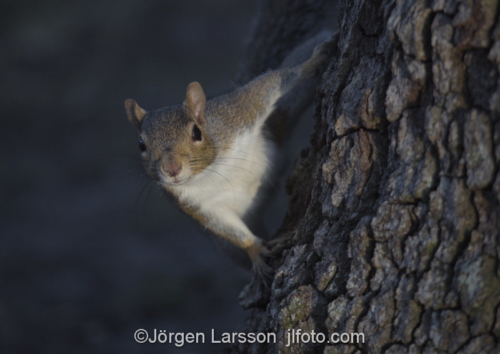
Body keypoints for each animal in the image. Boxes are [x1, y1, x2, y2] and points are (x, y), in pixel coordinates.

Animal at [125, 33, 336, 278]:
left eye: (196, 132)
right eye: (141, 145)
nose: (172, 169)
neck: (212, 170)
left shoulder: (239, 114)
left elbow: (270, 83)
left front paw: (313, 62)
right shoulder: (198, 205)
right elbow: (229, 229)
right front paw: (255, 250)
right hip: (226, 248)